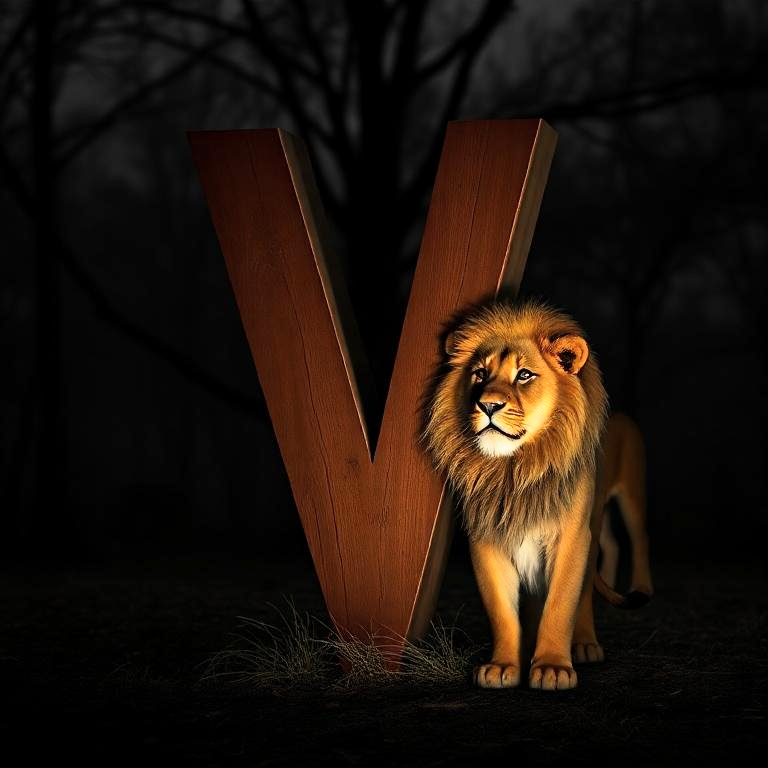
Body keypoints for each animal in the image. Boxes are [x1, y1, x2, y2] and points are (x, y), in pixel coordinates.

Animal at [423, 299, 652, 691]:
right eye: (479, 374)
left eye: (525, 375)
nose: (487, 405)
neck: (514, 470)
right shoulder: (487, 538)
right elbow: (502, 611)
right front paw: (502, 666)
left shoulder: (571, 536)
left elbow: (560, 604)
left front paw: (552, 668)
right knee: (609, 546)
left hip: (630, 497)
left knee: (634, 541)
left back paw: (595, 635)